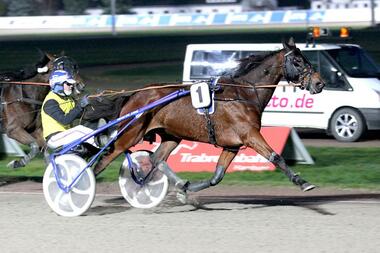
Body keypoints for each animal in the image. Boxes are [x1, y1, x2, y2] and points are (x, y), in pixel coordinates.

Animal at [94, 37, 324, 196]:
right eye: (297, 61)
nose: (319, 83)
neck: (244, 94)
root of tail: (133, 95)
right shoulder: (250, 135)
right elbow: (276, 157)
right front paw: (303, 183)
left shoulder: (232, 145)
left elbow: (217, 176)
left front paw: (186, 190)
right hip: (128, 135)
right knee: (103, 160)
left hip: (171, 135)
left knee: (156, 159)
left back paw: (172, 183)